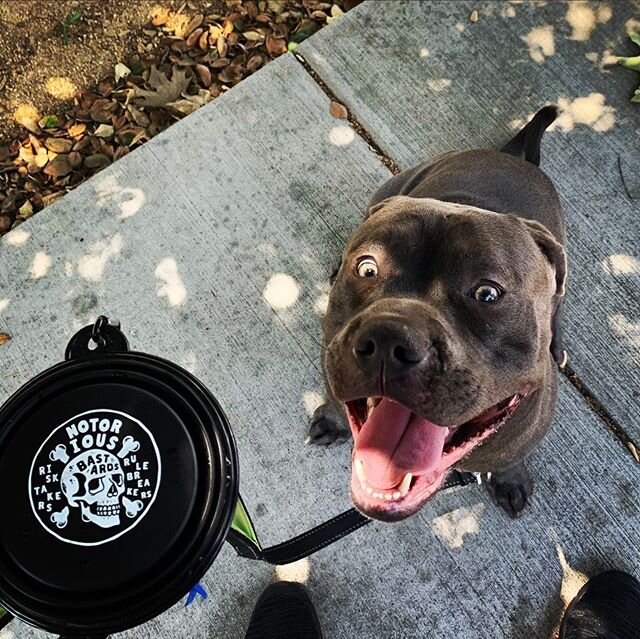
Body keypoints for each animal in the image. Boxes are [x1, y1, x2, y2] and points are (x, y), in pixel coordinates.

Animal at [308, 105, 568, 524]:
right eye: (367, 268)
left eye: (488, 293)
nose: (388, 340)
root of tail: (511, 156)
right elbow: (336, 399)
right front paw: (332, 421)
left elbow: (512, 458)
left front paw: (509, 478)